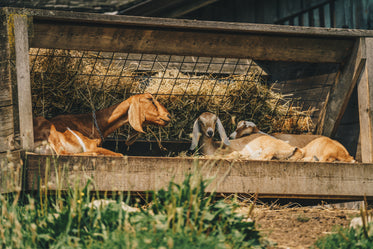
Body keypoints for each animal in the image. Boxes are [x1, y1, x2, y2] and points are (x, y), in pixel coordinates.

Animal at [33, 92, 170, 157]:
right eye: (150, 99)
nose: (168, 116)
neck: (93, 122)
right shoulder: (89, 145)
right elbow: (119, 154)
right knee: (63, 154)